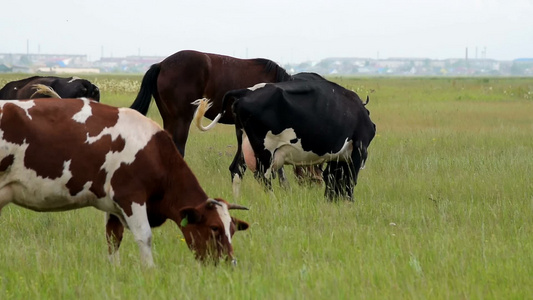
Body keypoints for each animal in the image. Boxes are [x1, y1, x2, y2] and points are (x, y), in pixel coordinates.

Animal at [0, 98, 249, 268]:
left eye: (233, 229)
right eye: (214, 228)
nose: (230, 264)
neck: (155, 152)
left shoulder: (112, 206)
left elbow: (113, 238)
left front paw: (115, 270)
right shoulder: (130, 196)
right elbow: (144, 236)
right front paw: (150, 272)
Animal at [193, 76, 376, 200]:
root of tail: (246, 91)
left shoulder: (337, 158)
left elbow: (332, 178)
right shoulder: (359, 150)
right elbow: (349, 180)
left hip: (245, 143)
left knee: (236, 170)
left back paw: (236, 201)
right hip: (264, 148)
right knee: (262, 176)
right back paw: (273, 201)